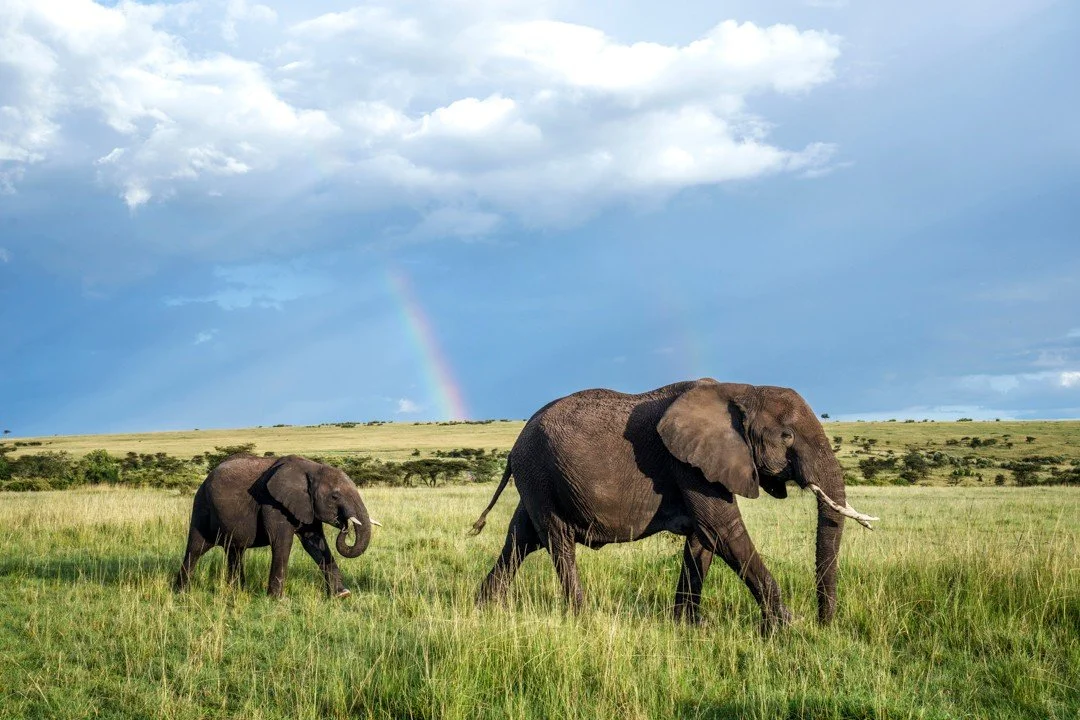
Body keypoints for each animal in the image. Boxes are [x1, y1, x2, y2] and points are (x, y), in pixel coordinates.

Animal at [174, 454, 380, 598]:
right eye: (335, 496)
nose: (344, 525)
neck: (312, 468)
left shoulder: (306, 505)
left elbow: (315, 543)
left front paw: (342, 595)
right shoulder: (272, 503)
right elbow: (283, 542)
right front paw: (278, 600)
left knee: (235, 551)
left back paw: (237, 592)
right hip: (202, 506)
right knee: (196, 549)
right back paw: (181, 592)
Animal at [470, 379, 877, 633]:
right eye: (787, 436)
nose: (824, 625)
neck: (742, 390)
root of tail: (515, 445)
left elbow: (704, 539)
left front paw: (691, 626)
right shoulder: (688, 464)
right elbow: (723, 529)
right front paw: (785, 626)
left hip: (538, 479)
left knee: (521, 539)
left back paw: (484, 608)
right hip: (540, 472)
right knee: (557, 540)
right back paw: (581, 617)